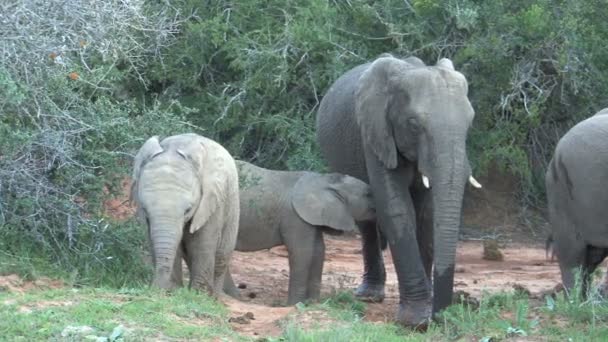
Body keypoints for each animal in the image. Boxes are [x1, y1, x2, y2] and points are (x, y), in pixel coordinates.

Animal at [131, 132, 240, 296]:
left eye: (188, 210)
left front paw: (198, 295)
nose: (153, 288)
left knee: (221, 256)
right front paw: (172, 290)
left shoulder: (211, 202)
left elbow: (202, 243)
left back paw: (214, 297)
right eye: (144, 209)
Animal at [223, 160, 376, 304]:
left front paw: (313, 303)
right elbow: (302, 252)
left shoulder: (311, 218)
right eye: (368, 194)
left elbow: (319, 251)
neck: (325, 180)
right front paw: (294, 304)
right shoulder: (295, 217)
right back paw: (234, 297)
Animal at [316, 52, 482, 326]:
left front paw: (427, 310)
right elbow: (397, 209)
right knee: (366, 221)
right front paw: (416, 322)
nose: (442, 316)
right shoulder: (375, 133)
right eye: (414, 124)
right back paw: (369, 295)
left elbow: (427, 215)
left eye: (469, 124)